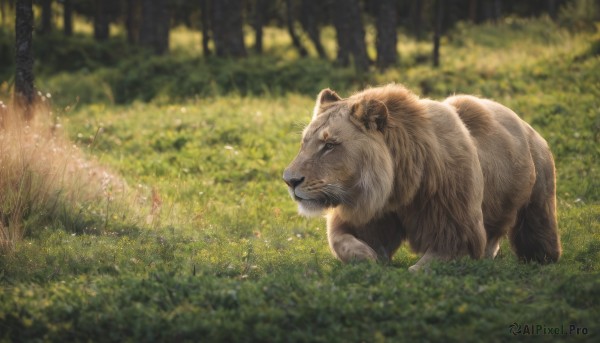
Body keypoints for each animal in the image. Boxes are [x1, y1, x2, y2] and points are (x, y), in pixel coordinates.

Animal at [284, 84, 560, 272]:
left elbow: (426, 266)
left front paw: (410, 270)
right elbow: (343, 242)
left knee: (537, 230)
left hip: (539, 198)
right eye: (305, 142)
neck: (397, 187)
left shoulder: (458, 230)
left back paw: (542, 258)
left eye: (330, 145)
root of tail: (527, 125)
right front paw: (370, 258)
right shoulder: (370, 213)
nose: (289, 180)